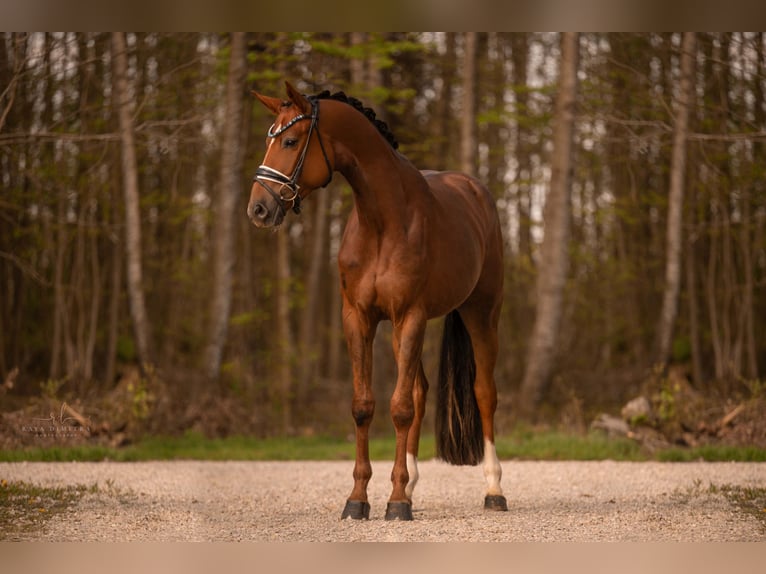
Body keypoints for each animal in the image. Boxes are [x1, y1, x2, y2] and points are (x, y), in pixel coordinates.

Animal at [249, 82, 508, 520]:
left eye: (289, 140)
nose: (259, 208)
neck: (383, 222)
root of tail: (477, 193)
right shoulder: (359, 318)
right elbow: (365, 405)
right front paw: (359, 498)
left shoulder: (410, 315)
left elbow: (399, 407)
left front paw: (397, 501)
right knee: (420, 391)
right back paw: (413, 483)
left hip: (481, 313)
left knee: (483, 392)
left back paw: (493, 490)